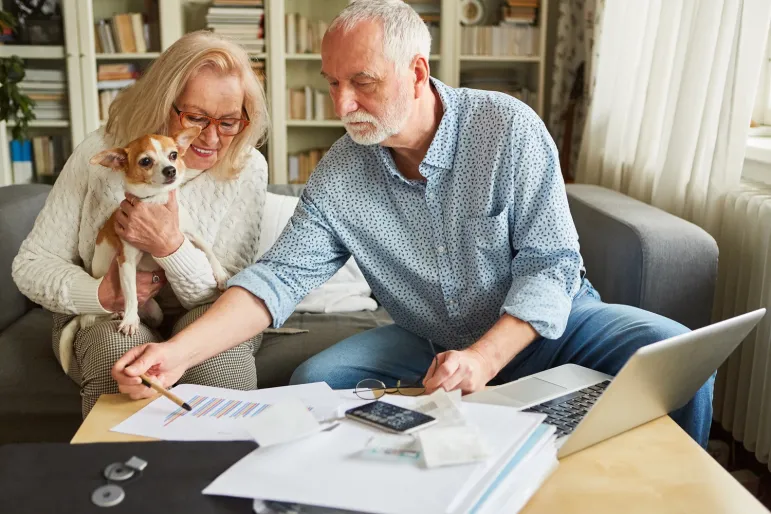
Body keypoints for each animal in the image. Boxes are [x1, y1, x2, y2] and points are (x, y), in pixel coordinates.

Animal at [58, 126, 228, 368]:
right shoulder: (126, 262)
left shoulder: (189, 236)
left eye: (173, 155)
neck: (155, 202)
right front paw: (130, 319)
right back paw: (117, 315)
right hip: (97, 312)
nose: (170, 170)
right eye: (145, 161)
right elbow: (130, 293)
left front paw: (221, 275)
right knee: (91, 318)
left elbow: (209, 251)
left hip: (155, 313)